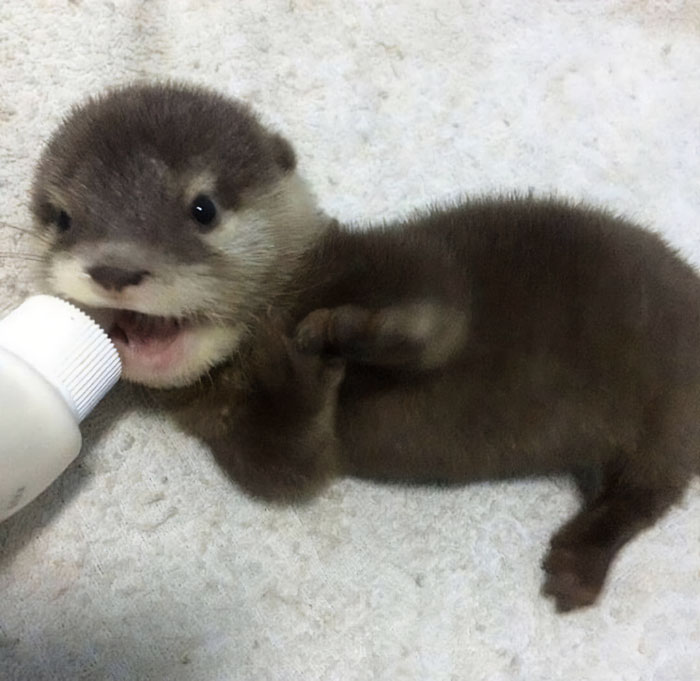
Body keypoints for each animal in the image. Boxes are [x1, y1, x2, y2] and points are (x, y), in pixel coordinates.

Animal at [30, 82, 700, 612]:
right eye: (62, 218)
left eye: (202, 207)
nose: (114, 268)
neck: (297, 290)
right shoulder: (244, 438)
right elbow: (294, 465)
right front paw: (298, 365)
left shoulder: (404, 265)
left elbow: (437, 324)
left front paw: (330, 334)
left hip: (673, 411)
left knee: (649, 492)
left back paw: (576, 564)